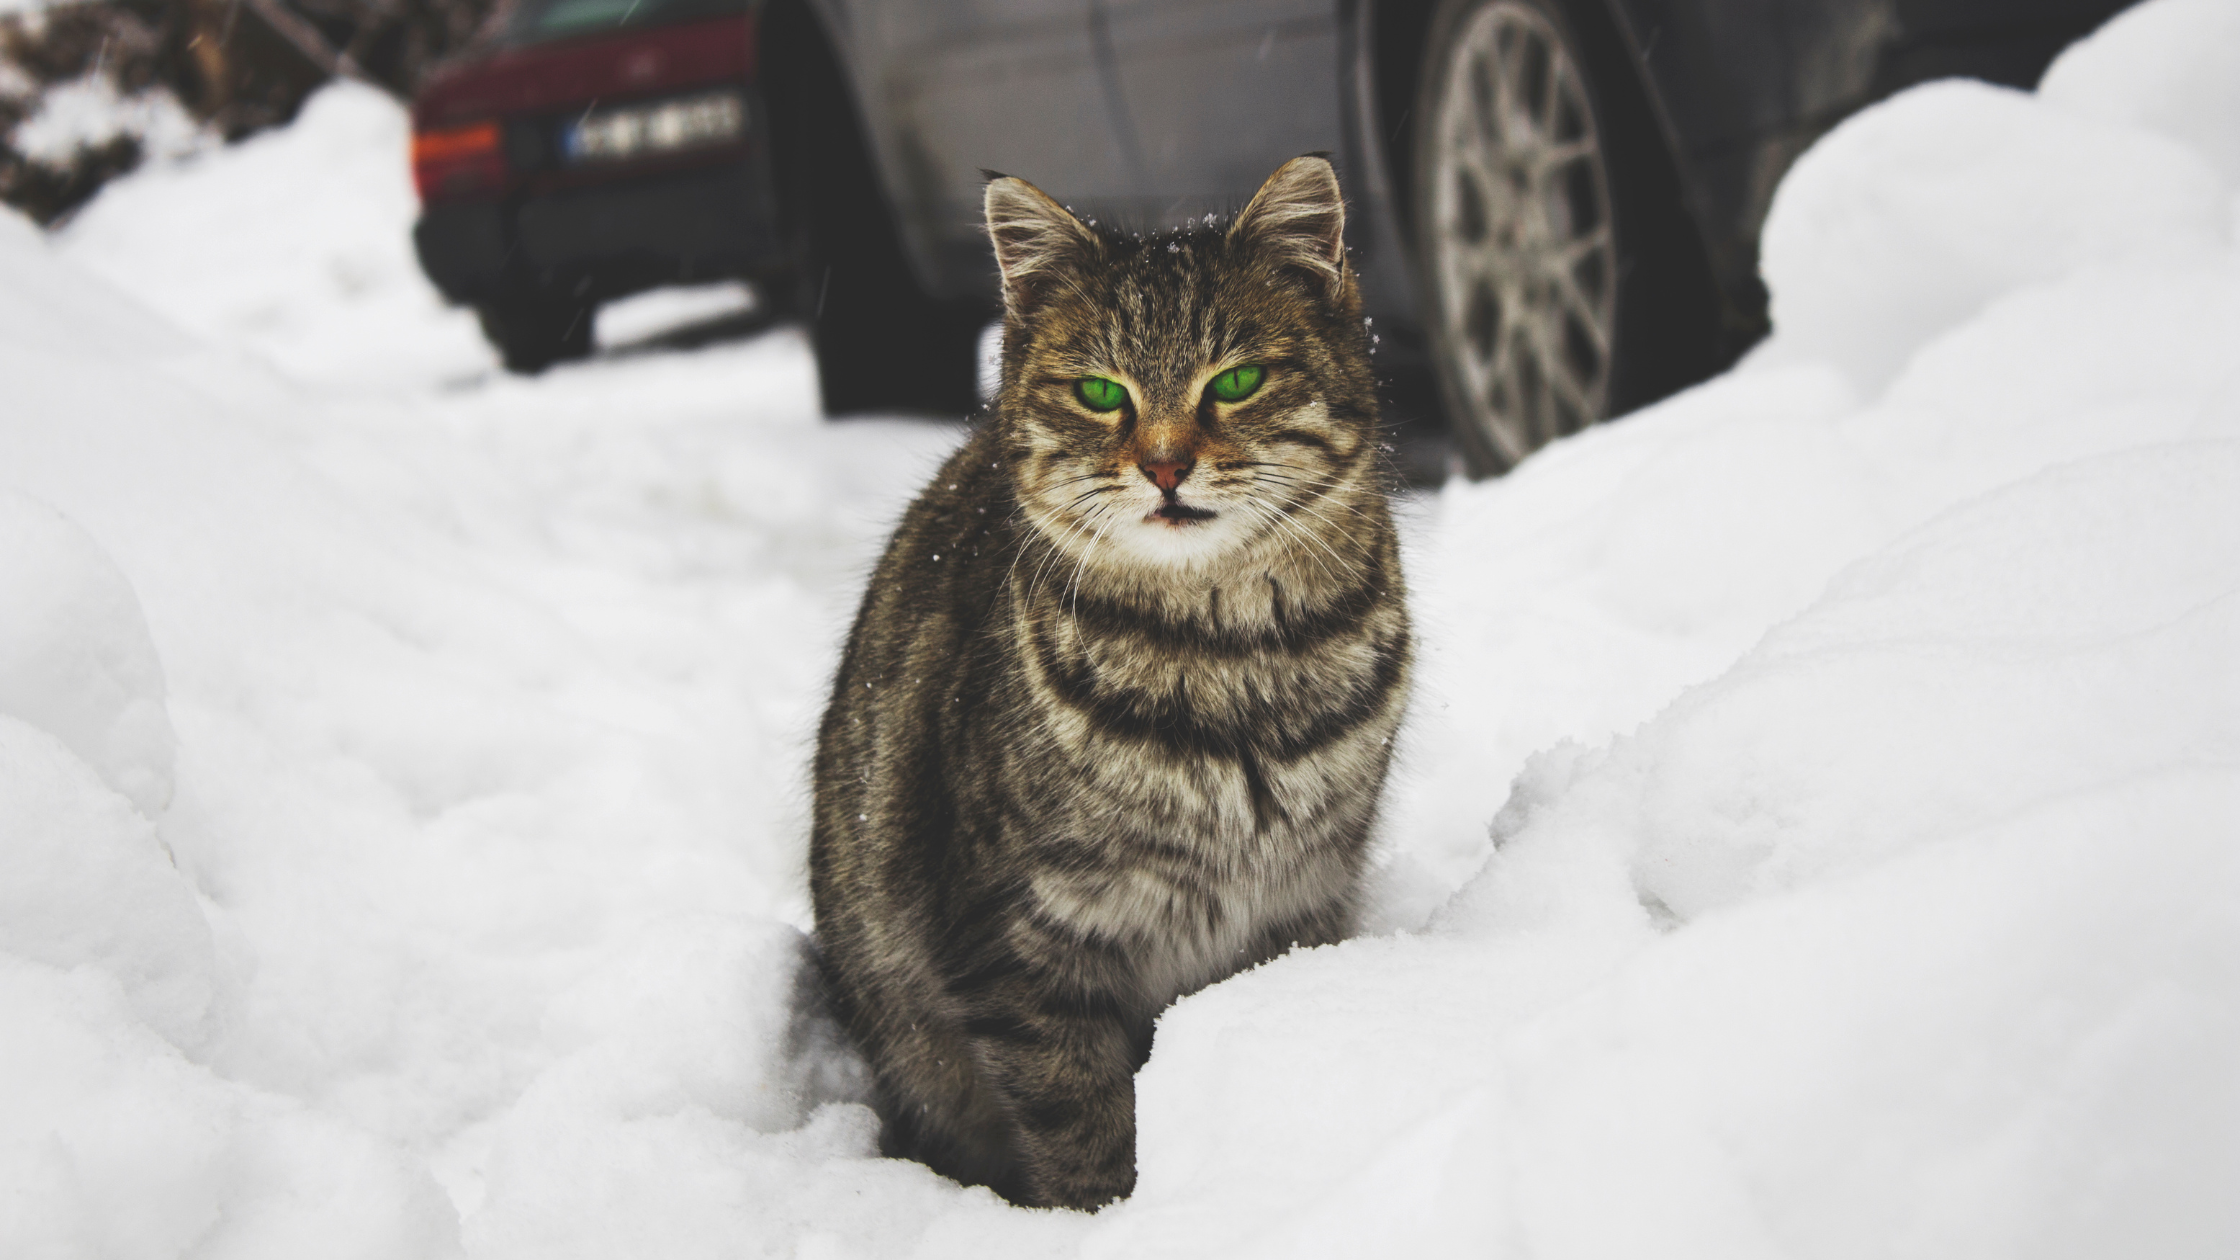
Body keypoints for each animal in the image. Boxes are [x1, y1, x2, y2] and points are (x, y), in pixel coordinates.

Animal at [815, 156, 1406, 1210]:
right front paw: (1106, 1220)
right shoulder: (1018, 947)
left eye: (1236, 380)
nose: (1165, 465)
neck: (1233, 660)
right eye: (1100, 392)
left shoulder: (1302, 901)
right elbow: (1081, 1124)